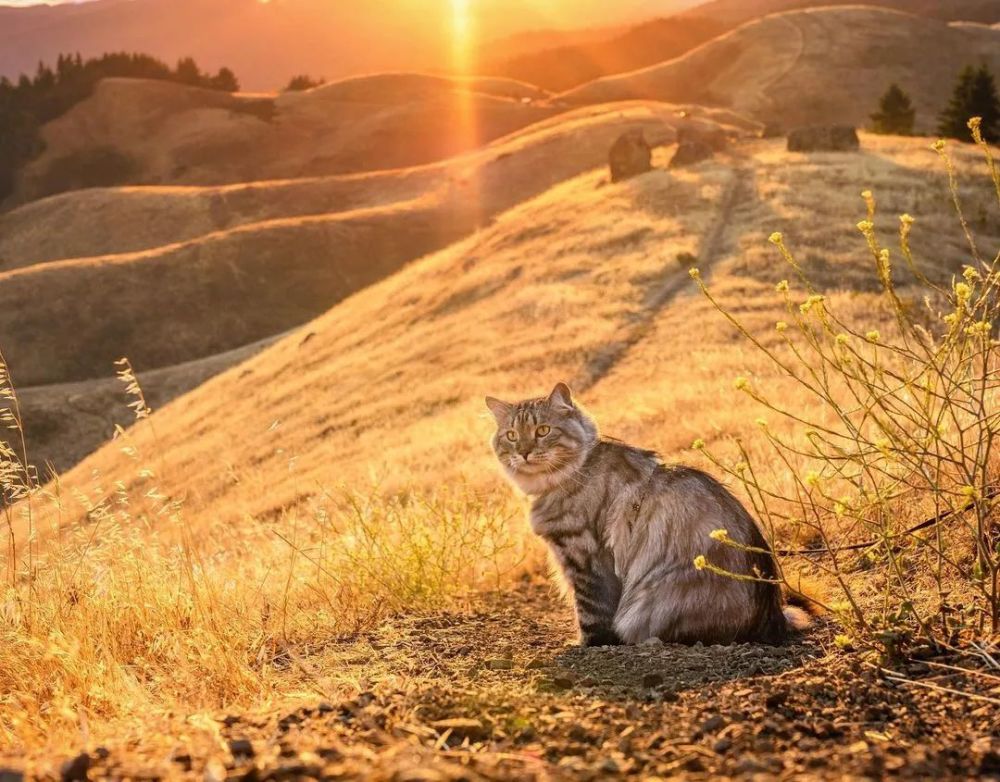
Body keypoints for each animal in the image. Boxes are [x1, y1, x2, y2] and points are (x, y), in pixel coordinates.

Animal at [486, 382, 812, 648]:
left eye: (543, 431)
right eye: (512, 436)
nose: (524, 452)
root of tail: (771, 616)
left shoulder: (586, 557)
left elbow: (591, 614)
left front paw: (586, 645)